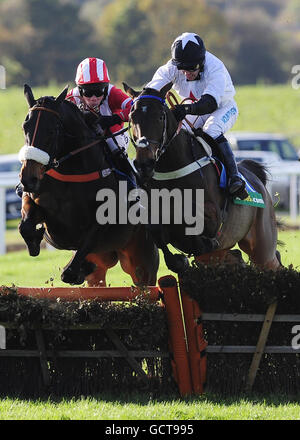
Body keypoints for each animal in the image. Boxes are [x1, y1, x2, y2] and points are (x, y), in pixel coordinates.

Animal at [18, 84, 159, 288]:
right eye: (25, 126)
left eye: (52, 130)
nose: (28, 178)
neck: (70, 173)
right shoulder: (33, 198)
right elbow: (26, 226)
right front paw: (35, 241)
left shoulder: (104, 217)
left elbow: (84, 246)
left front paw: (73, 270)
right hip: (101, 263)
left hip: (142, 263)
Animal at [123, 83, 282, 274]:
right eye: (132, 117)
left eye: (160, 117)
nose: (144, 164)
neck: (172, 169)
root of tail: (256, 177)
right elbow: (157, 230)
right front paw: (179, 260)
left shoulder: (213, 218)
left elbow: (192, 220)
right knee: (235, 255)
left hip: (262, 247)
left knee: (273, 260)